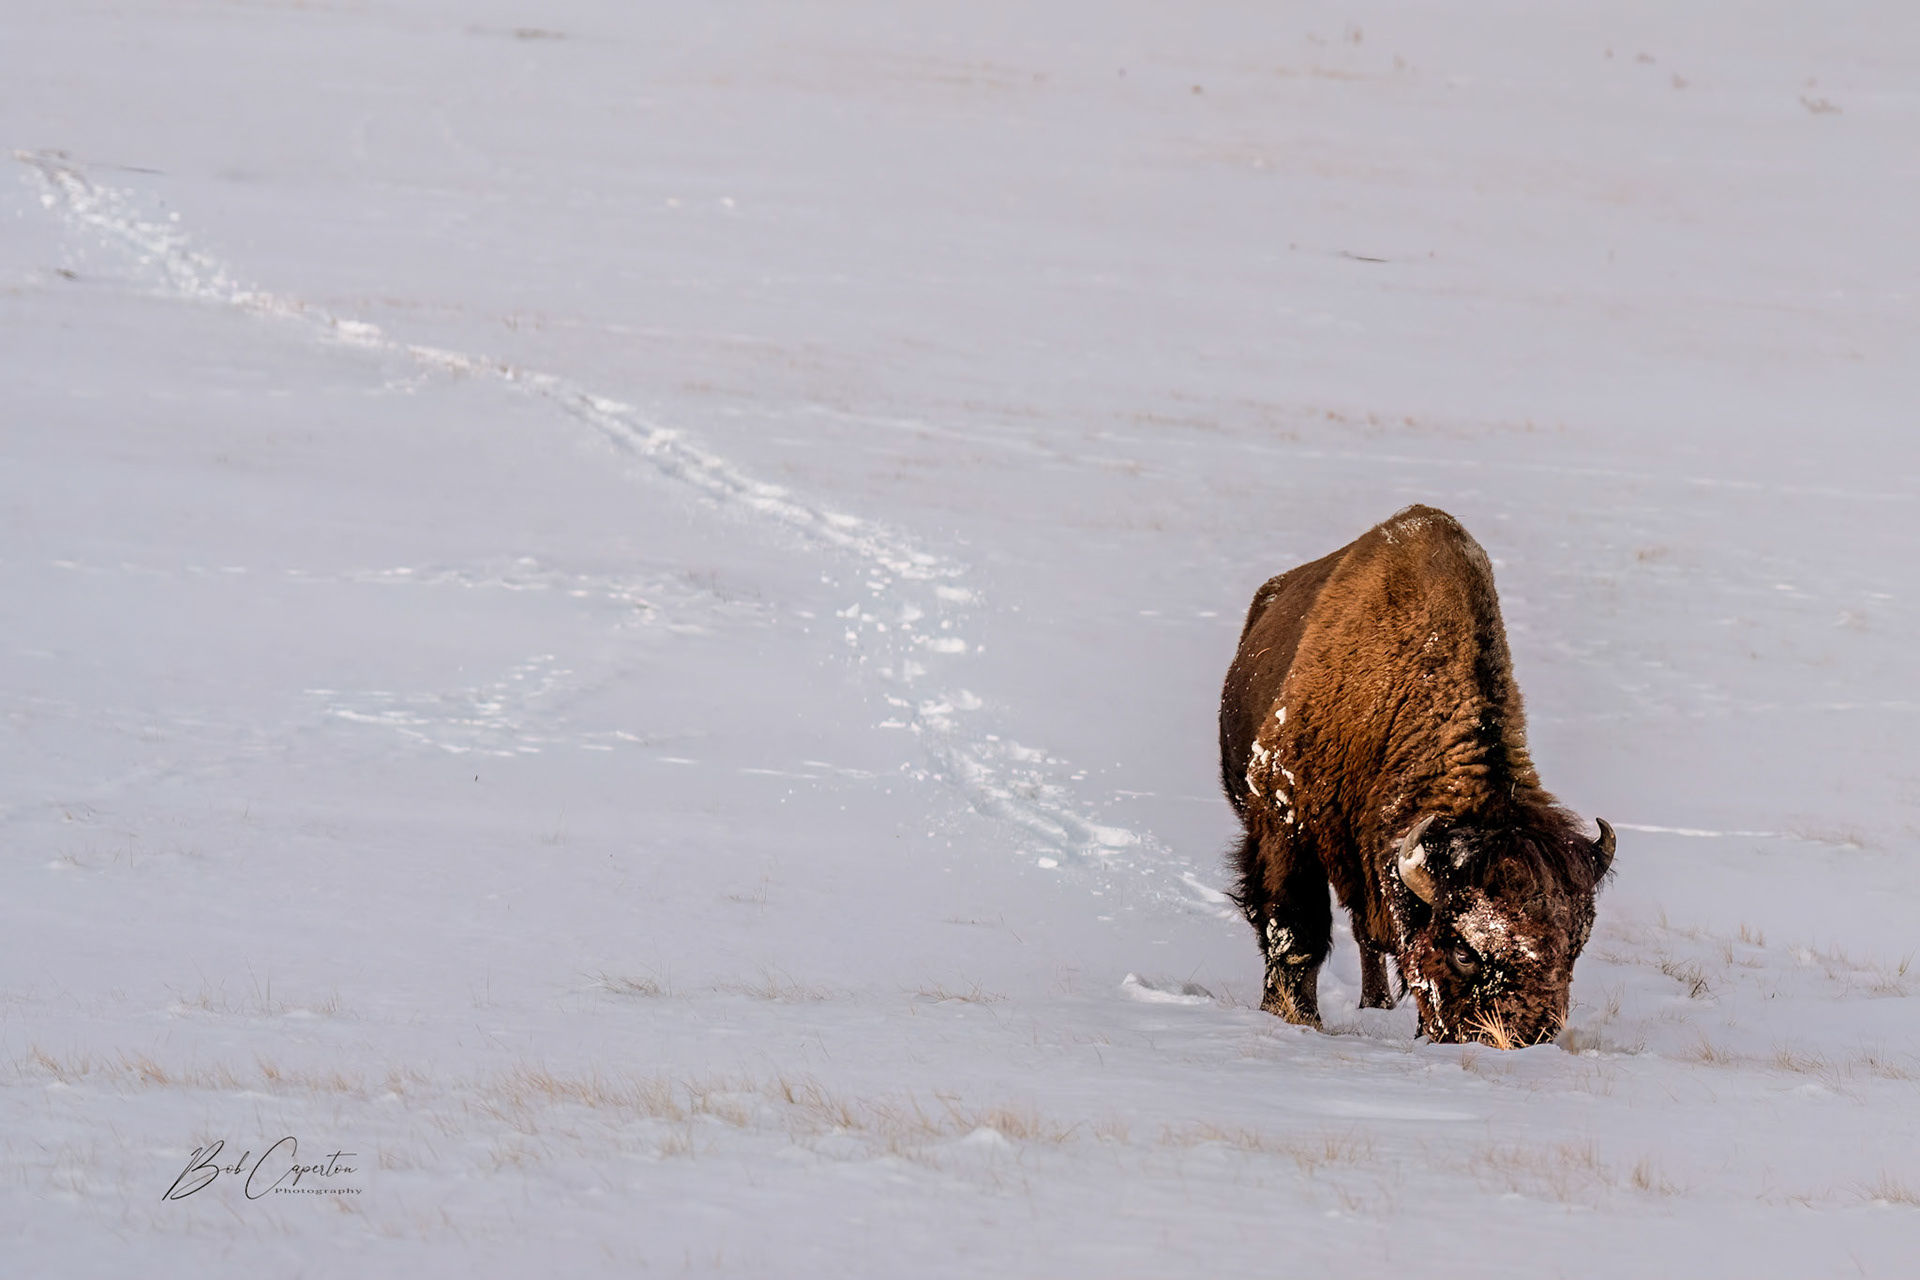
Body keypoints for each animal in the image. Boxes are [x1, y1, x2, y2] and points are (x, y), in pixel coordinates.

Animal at [1219, 505, 1613, 1046]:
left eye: (1574, 948)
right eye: (1463, 950)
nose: (1519, 1040)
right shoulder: (1284, 824)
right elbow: (1295, 934)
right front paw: (1295, 1018)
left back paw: (1377, 1004)